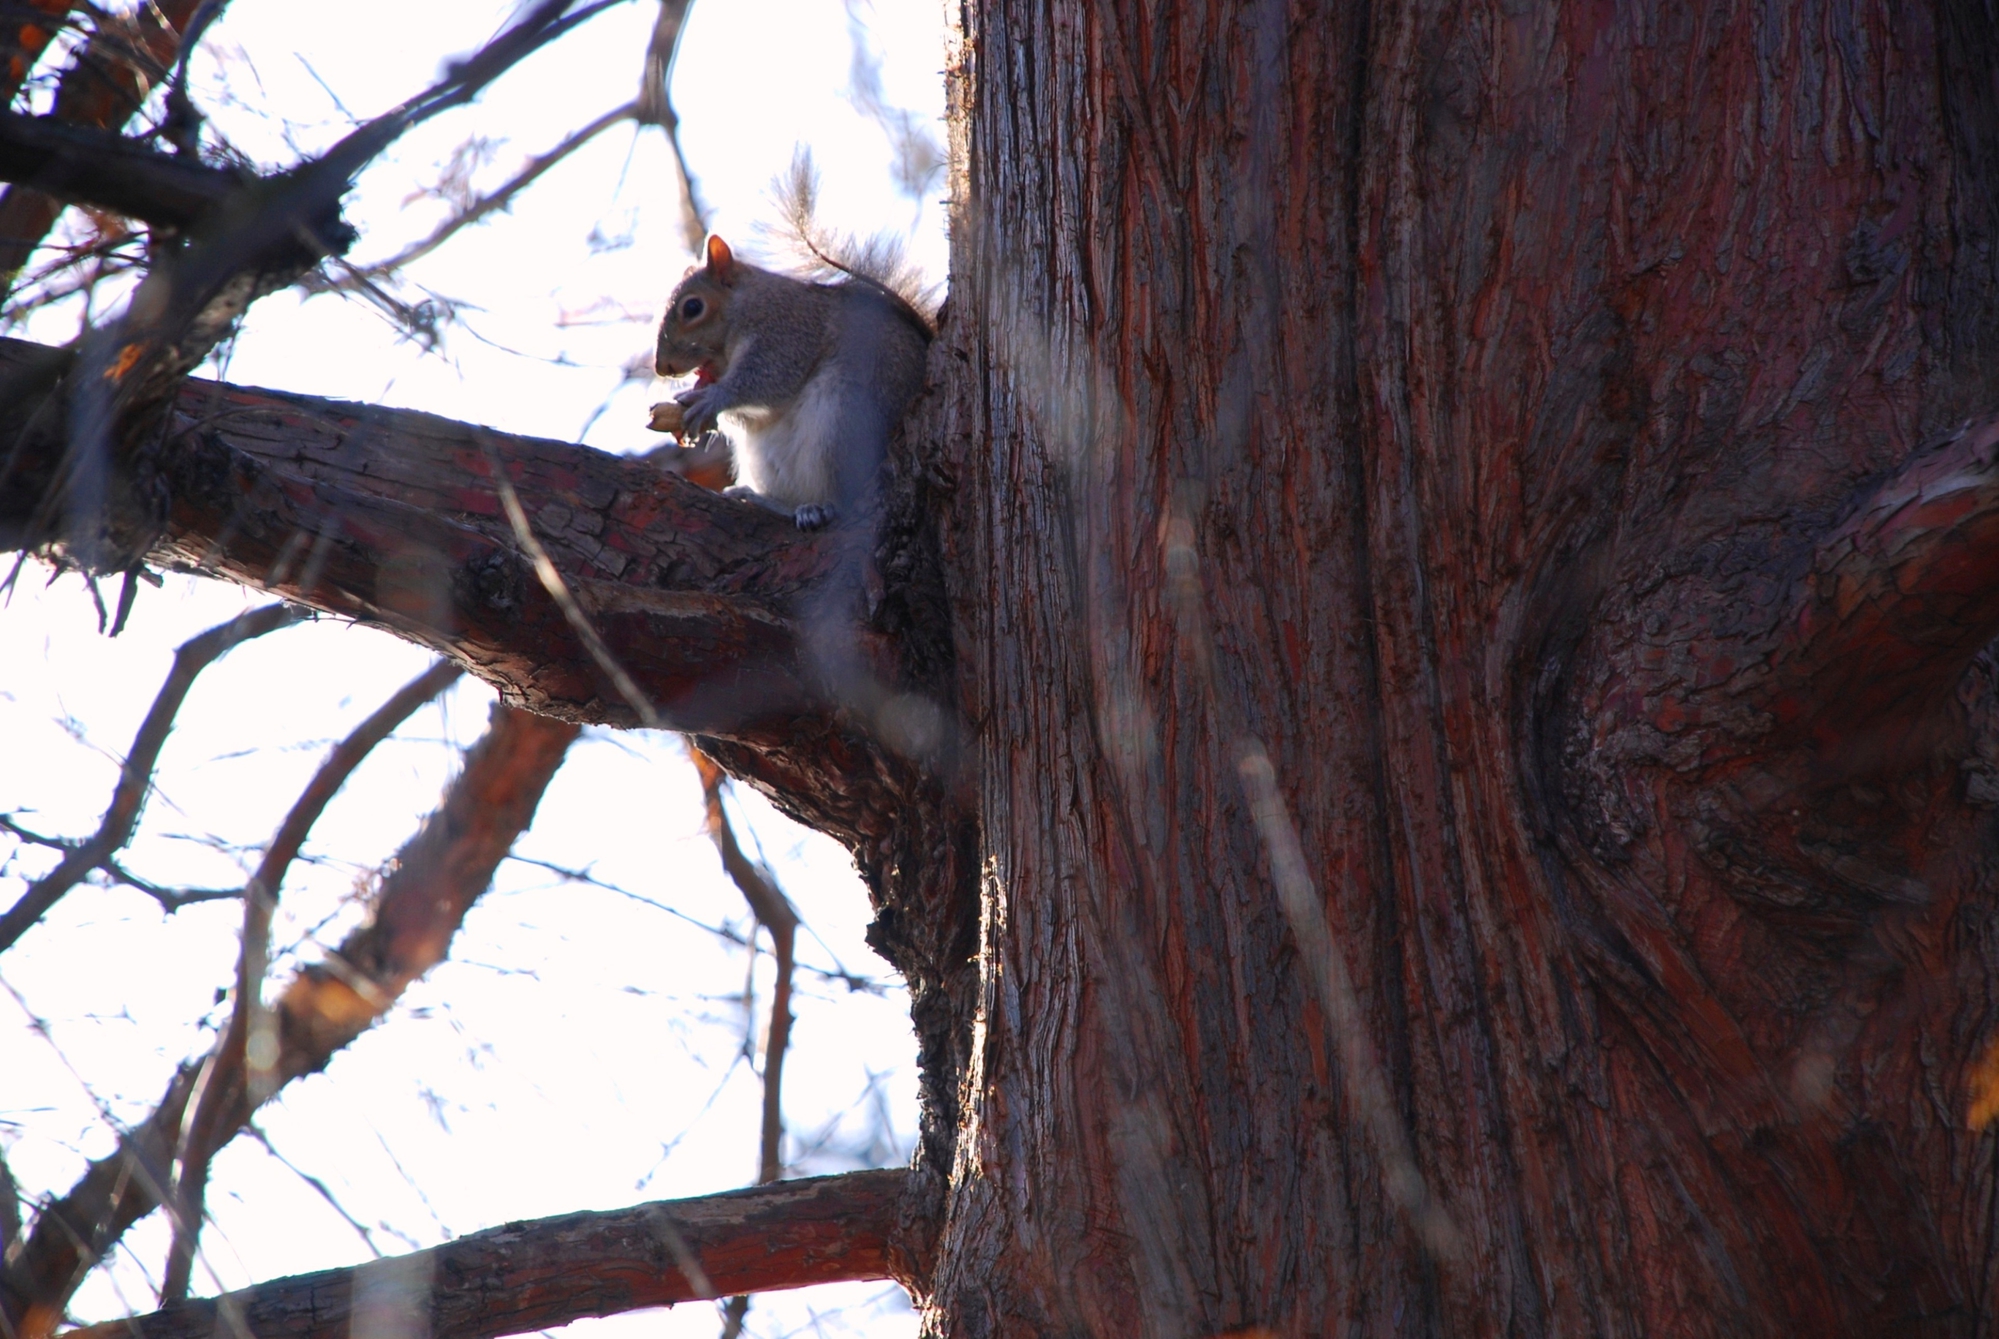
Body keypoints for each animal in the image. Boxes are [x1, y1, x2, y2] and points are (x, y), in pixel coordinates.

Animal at [655, 230, 935, 531]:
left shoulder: (787, 332)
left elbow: (771, 379)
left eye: (693, 307)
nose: (662, 367)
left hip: (843, 420)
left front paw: (712, 398)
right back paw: (759, 498)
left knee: (843, 501)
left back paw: (816, 509)